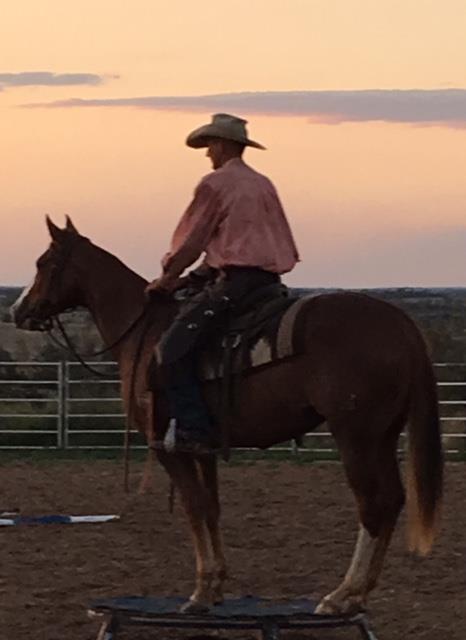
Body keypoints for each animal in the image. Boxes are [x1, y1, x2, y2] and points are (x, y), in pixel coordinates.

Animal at [13, 216, 443, 615]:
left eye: (43, 262)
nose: (19, 310)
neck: (143, 333)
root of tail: (401, 325)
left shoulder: (167, 446)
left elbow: (194, 506)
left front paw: (200, 592)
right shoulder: (202, 447)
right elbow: (212, 507)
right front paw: (217, 584)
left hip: (355, 436)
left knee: (372, 503)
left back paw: (341, 595)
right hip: (384, 434)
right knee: (393, 498)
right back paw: (360, 594)